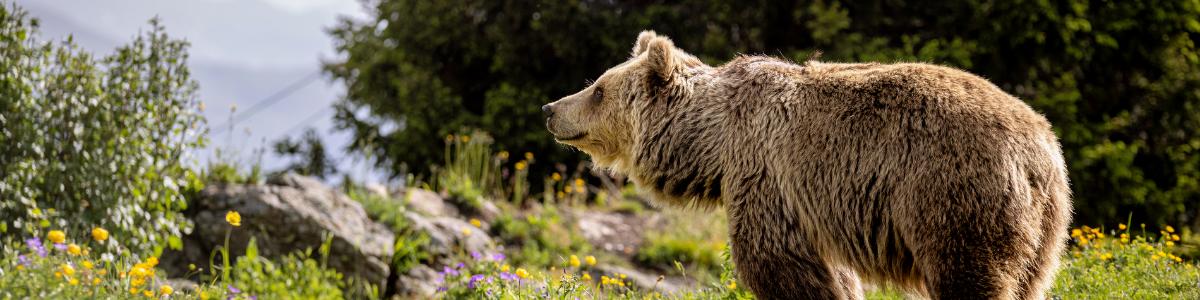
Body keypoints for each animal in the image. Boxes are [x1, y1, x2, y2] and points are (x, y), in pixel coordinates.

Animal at [544, 31, 1070, 300]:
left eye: (597, 89)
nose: (551, 108)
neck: (715, 142)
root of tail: (1040, 148)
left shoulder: (767, 177)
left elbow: (780, 265)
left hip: (952, 194)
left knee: (969, 274)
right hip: (1045, 231)